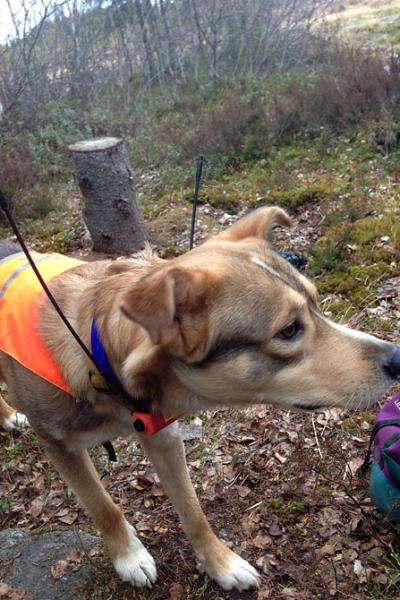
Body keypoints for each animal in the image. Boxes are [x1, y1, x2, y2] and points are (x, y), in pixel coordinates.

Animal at [1, 206, 399, 591]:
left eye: (317, 303)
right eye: (288, 330)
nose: (397, 358)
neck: (102, 360)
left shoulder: (161, 434)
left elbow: (193, 512)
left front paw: (220, 564)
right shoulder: (58, 445)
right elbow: (103, 507)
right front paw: (128, 556)